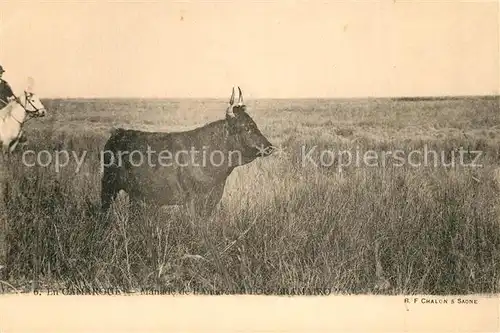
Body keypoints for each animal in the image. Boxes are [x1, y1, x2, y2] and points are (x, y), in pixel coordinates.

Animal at [100, 88, 276, 218]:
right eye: (246, 127)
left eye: (254, 124)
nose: (269, 147)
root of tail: (118, 133)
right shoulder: (192, 200)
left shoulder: (211, 199)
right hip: (108, 185)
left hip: (134, 194)